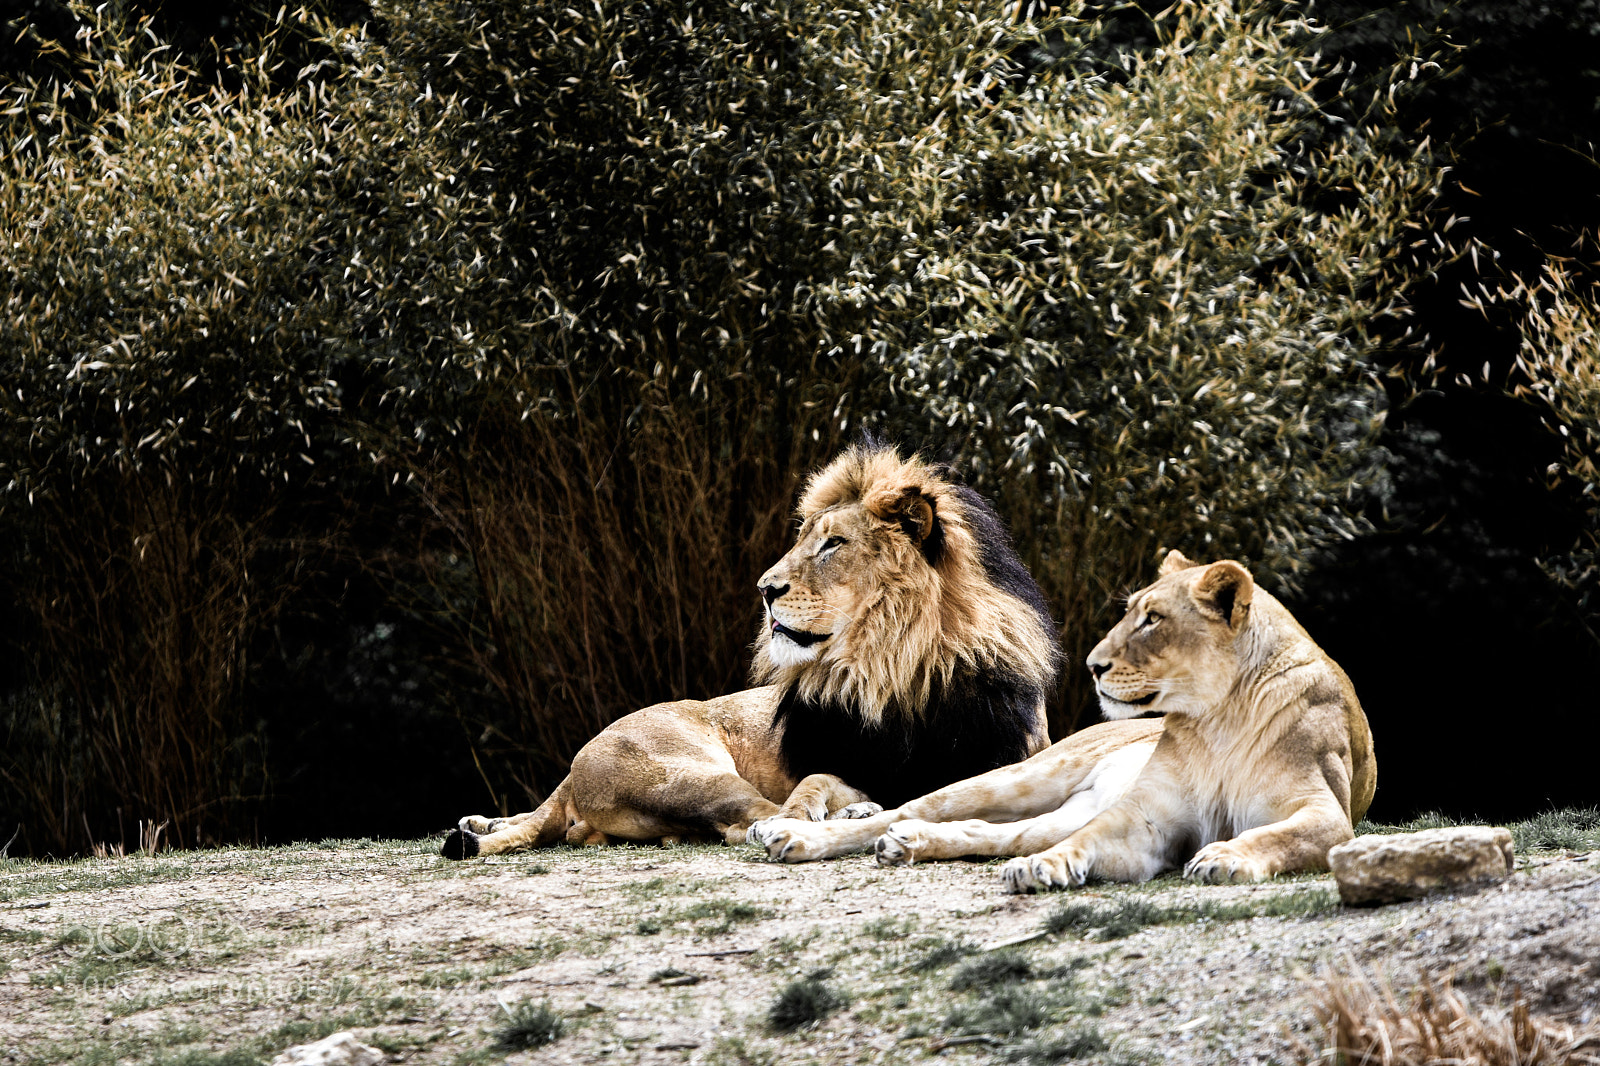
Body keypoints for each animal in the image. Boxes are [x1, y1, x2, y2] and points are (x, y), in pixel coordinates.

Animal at [440, 442, 1061, 860]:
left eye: (833, 544)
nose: (764, 588)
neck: (896, 669)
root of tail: (575, 768)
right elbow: (829, 785)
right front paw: (851, 807)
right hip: (691, 774)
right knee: (758, 816)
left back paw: (481, 823)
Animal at [749, 550, 1376, 892]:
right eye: (1130, 612)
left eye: (1153, 620)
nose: (1093, 666)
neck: (1216, 719)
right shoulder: (1144, 818)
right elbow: (1090, 842)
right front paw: (1043, 870)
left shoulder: (1326, 814)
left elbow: (1278, 835)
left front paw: (1225, 856)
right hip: (1021, 775)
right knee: (904, 809)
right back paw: (794, 835)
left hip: (1058, 809)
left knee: (988, 833)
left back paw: (908, 845)